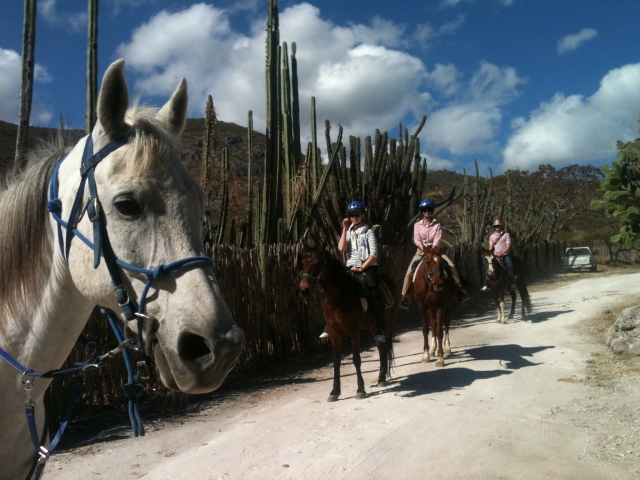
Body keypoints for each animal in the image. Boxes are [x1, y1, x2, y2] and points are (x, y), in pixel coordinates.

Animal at [298, 243, 398, 402]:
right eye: (303, 263)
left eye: (318, 263)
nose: (304, 290)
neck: (338, 297)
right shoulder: (334, 333)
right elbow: (336, 360)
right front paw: (334, 392)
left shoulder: (354, 331)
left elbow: (356, 359)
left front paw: (360, 390)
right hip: (373, 327)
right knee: (381, 347)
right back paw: (381, 378)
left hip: (386, 323)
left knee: (384, 346)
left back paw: (382, 379)